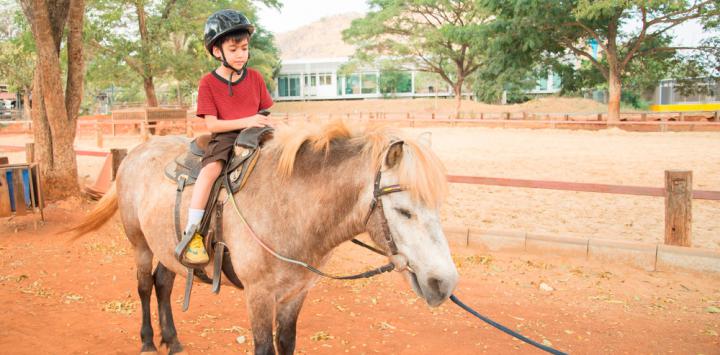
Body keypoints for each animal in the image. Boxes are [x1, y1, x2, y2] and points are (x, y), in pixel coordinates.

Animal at [66, 121, 456, 354]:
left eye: (438, 206)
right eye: (403, 211)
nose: (444, 283)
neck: (291, 207)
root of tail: (135, 152)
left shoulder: (295, 294)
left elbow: (286, 343)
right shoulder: (258, 295)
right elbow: (264, 348)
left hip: (167, 247)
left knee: (163, 284)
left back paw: (172, 340)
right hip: (140, 244)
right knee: (145, 286)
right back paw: (148, 341)